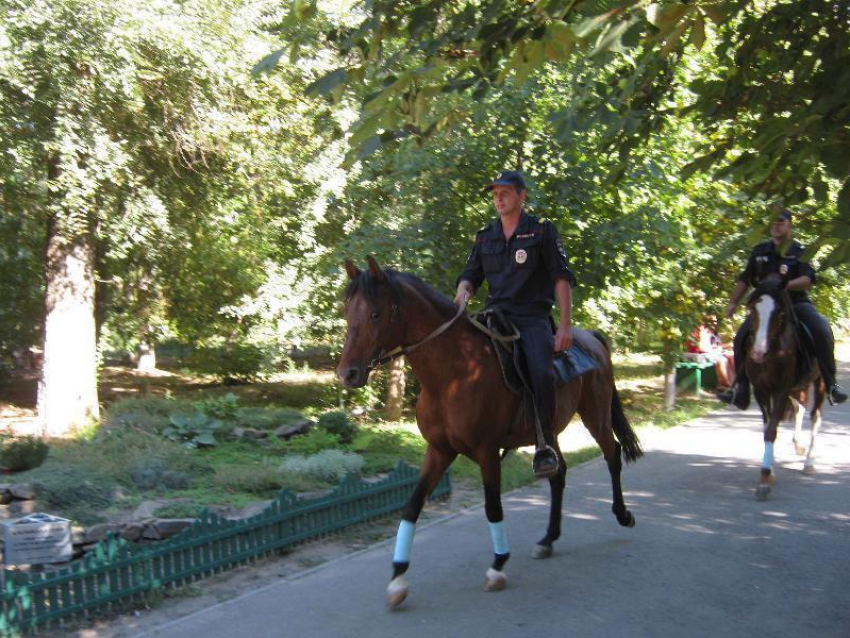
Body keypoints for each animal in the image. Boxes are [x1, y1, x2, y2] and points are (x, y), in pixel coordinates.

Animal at [338, 258, 644, 608]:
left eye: (375, 313)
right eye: (348, 312)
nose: (347, 374)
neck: (452, 374)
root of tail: (591, 338)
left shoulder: (487, 451)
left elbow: (492, 506)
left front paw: (498, 565)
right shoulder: (439, 451)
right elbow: (412, 506)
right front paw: (398, 578)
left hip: (596, 415)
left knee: (612, 454)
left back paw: (622, 514)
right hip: (550, 432)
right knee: (559, 473)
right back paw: (548, 538)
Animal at [744, 278, 820, 502]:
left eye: (780, 312)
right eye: (753, 309)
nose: (758, 353)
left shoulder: (780, 390)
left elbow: (771, 431)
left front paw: (764, 480)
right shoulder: (761, 390)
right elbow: (768, 427)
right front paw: (770, 471)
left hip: (818, 383)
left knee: (815, 416)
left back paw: (809, 462)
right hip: (798, 387)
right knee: (800, 408)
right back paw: (798, 444)